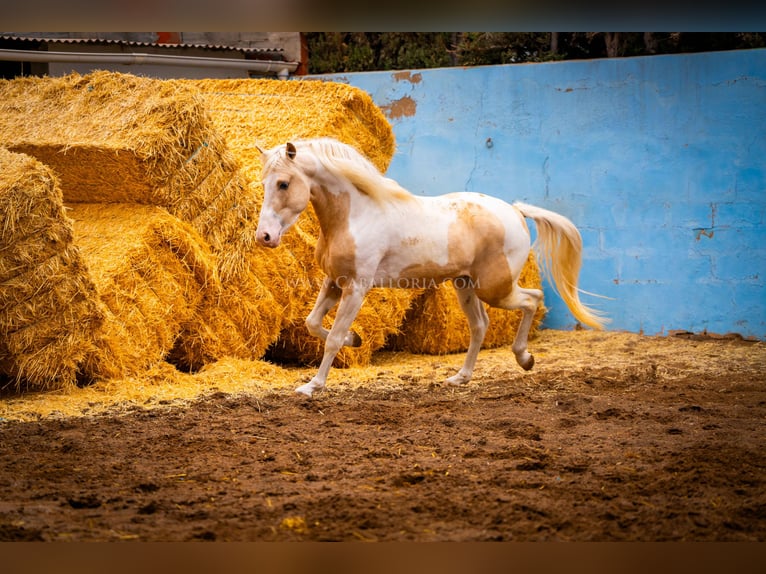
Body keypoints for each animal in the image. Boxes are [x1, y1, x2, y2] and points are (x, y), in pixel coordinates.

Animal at [258, 137, 612, 398]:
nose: (265, 236)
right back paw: (460, 378)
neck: (355, 214)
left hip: (495, 287)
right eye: (265, 184)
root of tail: (515, 211)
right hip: (466, 285)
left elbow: (331, 337)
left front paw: (312, 386)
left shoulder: (357, 287)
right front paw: (355, 340)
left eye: (284, 184)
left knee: (532, 298)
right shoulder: (334, 281)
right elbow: (313, 323)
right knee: (480, 325)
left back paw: (524, 358)